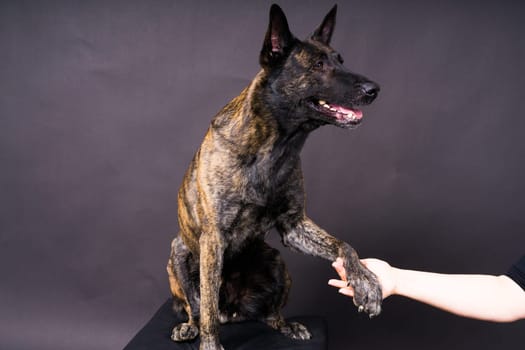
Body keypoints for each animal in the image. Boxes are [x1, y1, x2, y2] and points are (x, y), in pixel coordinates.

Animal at [167, 3, 380, 350]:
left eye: (340, 60)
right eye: (318, 65)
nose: (374, 90)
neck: (274, 144)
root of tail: (232, 310)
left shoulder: (294, 226)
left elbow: (344, 245)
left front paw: (366, 282)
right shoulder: (212, 239)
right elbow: (207, 305)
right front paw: (210, 344)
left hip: (276, 262)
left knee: (270, 314)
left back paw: (289, 326)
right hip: (179, 254)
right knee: (196, 308)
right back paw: (188, 327)